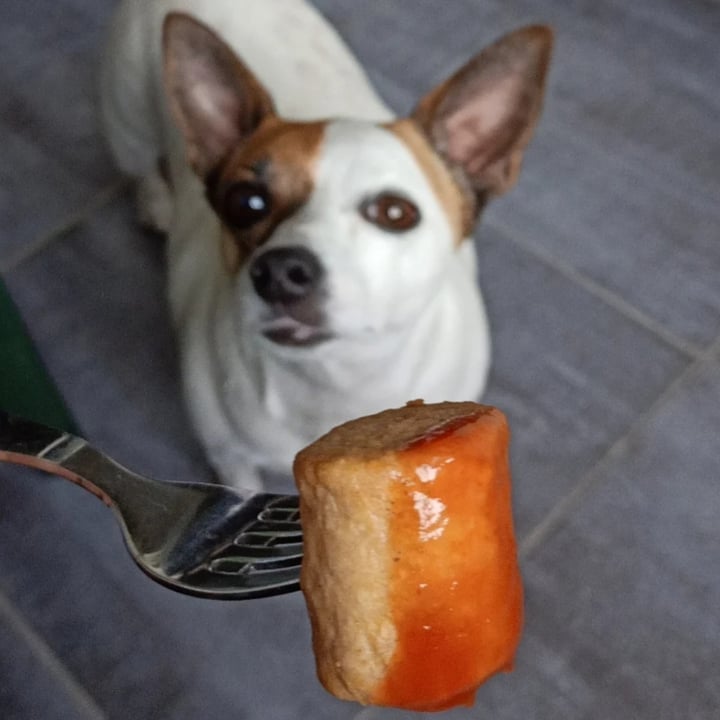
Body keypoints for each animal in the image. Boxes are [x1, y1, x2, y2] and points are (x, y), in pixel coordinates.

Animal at [100, 0, 552, 486]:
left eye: (395, 212)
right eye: (246, 202)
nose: (281, 272)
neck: (335, 381)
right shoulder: (231, 460)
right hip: (128, 124)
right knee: (139, 165)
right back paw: (156, 201)